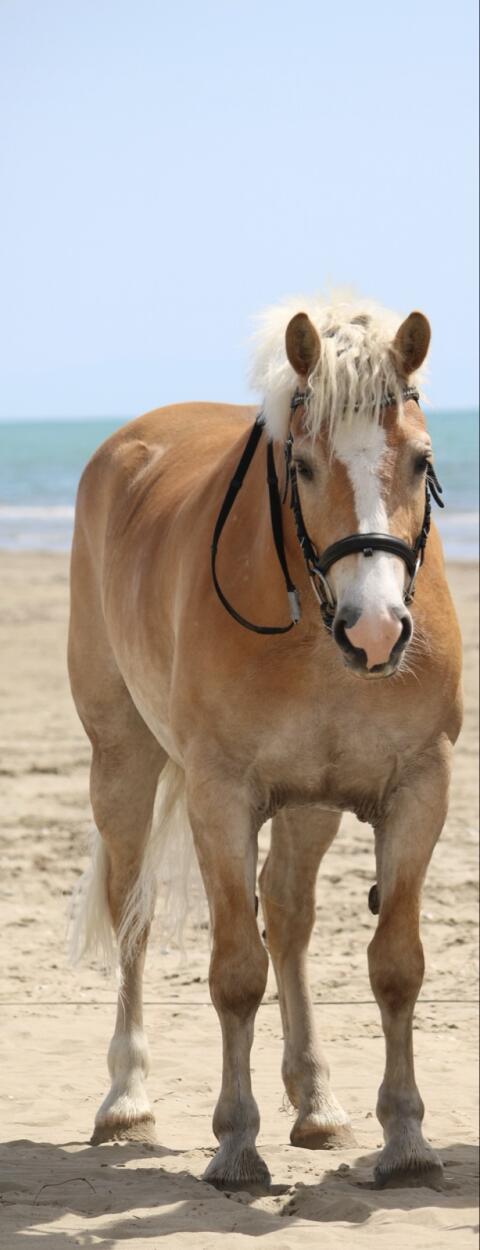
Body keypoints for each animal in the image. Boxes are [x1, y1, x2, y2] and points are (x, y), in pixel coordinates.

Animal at [68, 293, 462, 1190]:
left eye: (420, 461)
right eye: (304, 466)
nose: (377, 630)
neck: (314, 628)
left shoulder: (419, 788)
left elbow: (397, 964)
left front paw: (407, 1139)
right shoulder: (220, 796)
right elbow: (236, 973)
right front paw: (235, 1142)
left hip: (312, 801)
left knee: (286, 914)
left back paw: (315, 1103)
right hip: (123, 763)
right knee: (135, 915)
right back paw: (126, 1099)